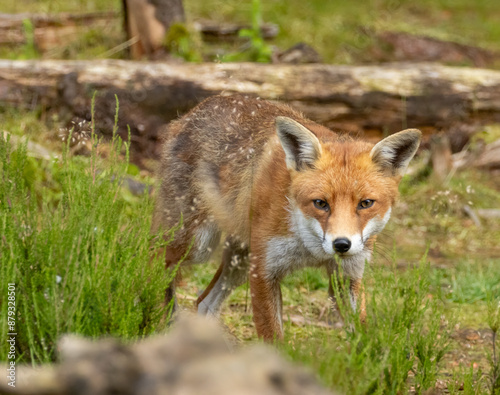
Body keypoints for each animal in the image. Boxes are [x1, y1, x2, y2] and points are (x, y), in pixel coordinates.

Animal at [153, 95, 422, 340]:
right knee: (155, 260)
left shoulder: (347, 275)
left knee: (203, 303)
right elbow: (273, 339)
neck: (311, 249)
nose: (341, 245)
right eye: (320, 203)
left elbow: (364, 338)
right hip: (197, 245)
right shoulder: (264, 271)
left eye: (365, 203)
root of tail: (191, 112)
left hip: (239, 261)